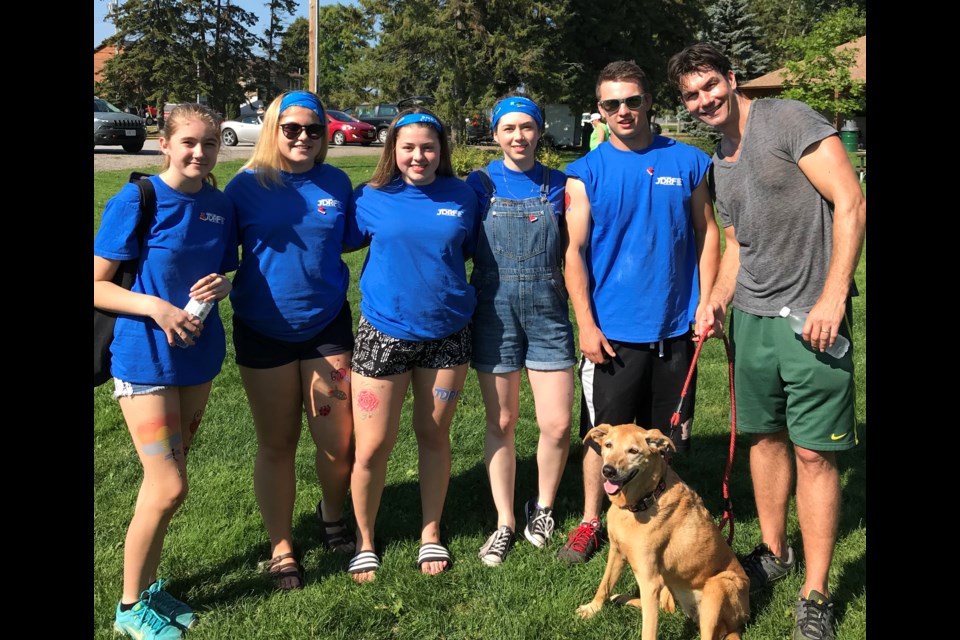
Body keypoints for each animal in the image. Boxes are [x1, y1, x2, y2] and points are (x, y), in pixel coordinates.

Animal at [576, 422, 752, 636]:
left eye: (633, 451)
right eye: (608, 445)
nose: (608, 470)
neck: (642, 501)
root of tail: (740, 622)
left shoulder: (649, 581)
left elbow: (648, 631)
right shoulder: (617, 552)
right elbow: (605, 584)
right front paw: (592, 608)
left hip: (718, 586)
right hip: (670, 585)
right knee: (663, 607)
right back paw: (622, 598)